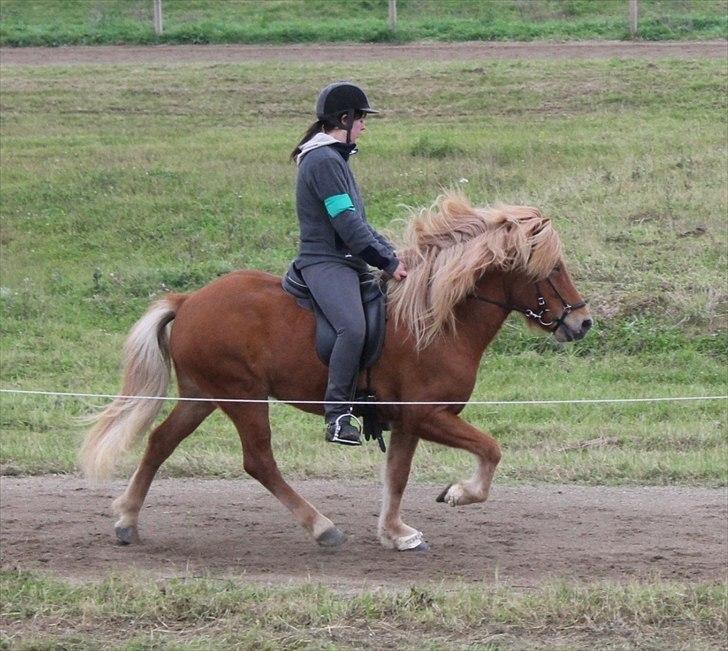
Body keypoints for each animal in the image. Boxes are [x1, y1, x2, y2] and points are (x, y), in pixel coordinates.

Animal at [81, 192, 592, 552]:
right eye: (553, 268)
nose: (583, 322)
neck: (435, 319)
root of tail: (189, 301)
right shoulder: (428, 415)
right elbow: (491, 450)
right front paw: (458, 493)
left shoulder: (406, 422)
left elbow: (397, 476)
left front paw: (395, 533)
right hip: (243, 396)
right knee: (258, 461)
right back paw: (321, 527)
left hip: (203, 394)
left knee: (160, 442)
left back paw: (127, 520)